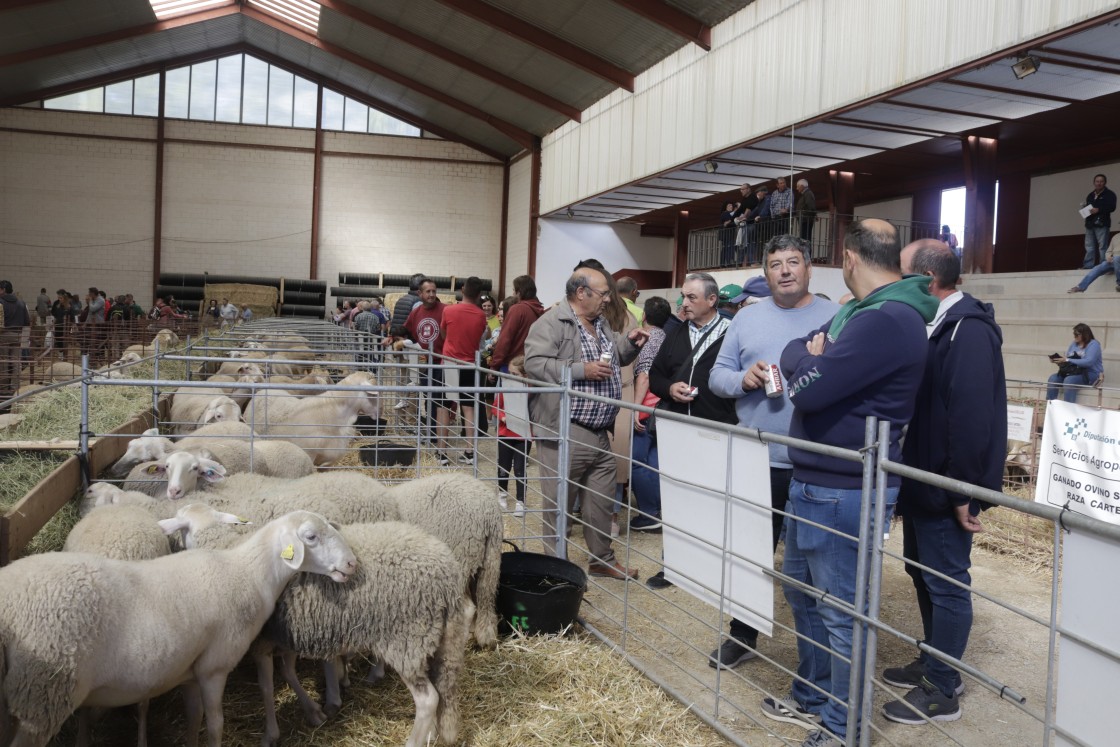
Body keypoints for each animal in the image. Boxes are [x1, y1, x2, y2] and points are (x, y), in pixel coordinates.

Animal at [0, 510, 353, 747]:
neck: (248, 575)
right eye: (311, 537)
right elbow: (215, 724)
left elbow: (193, 719)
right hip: (41, 696)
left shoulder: (190, 672)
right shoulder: (214, 667)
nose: (351, 564)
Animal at [389, 472, 504, 649]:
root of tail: (490, 514)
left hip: (461, 558)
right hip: (489, 558)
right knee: (485, 598)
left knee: (467, 608)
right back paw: (484, 637)